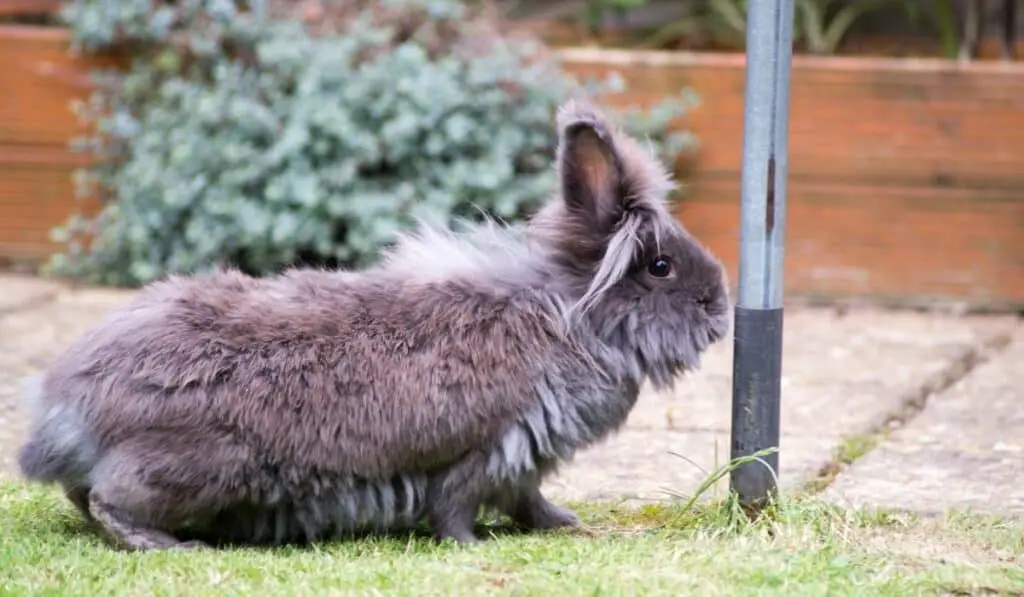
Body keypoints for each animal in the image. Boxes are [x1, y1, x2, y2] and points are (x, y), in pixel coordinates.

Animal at [18, 96, 737, 552]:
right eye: (662, 267)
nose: (722, 309)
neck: (568, 316)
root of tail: (63, 412)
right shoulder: (486, 449)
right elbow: (456, 506)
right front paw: (470, 548)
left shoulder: (523, 463)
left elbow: (529, 501)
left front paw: (567, 524)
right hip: (200, 466)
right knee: (108, 497)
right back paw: (165, 545)